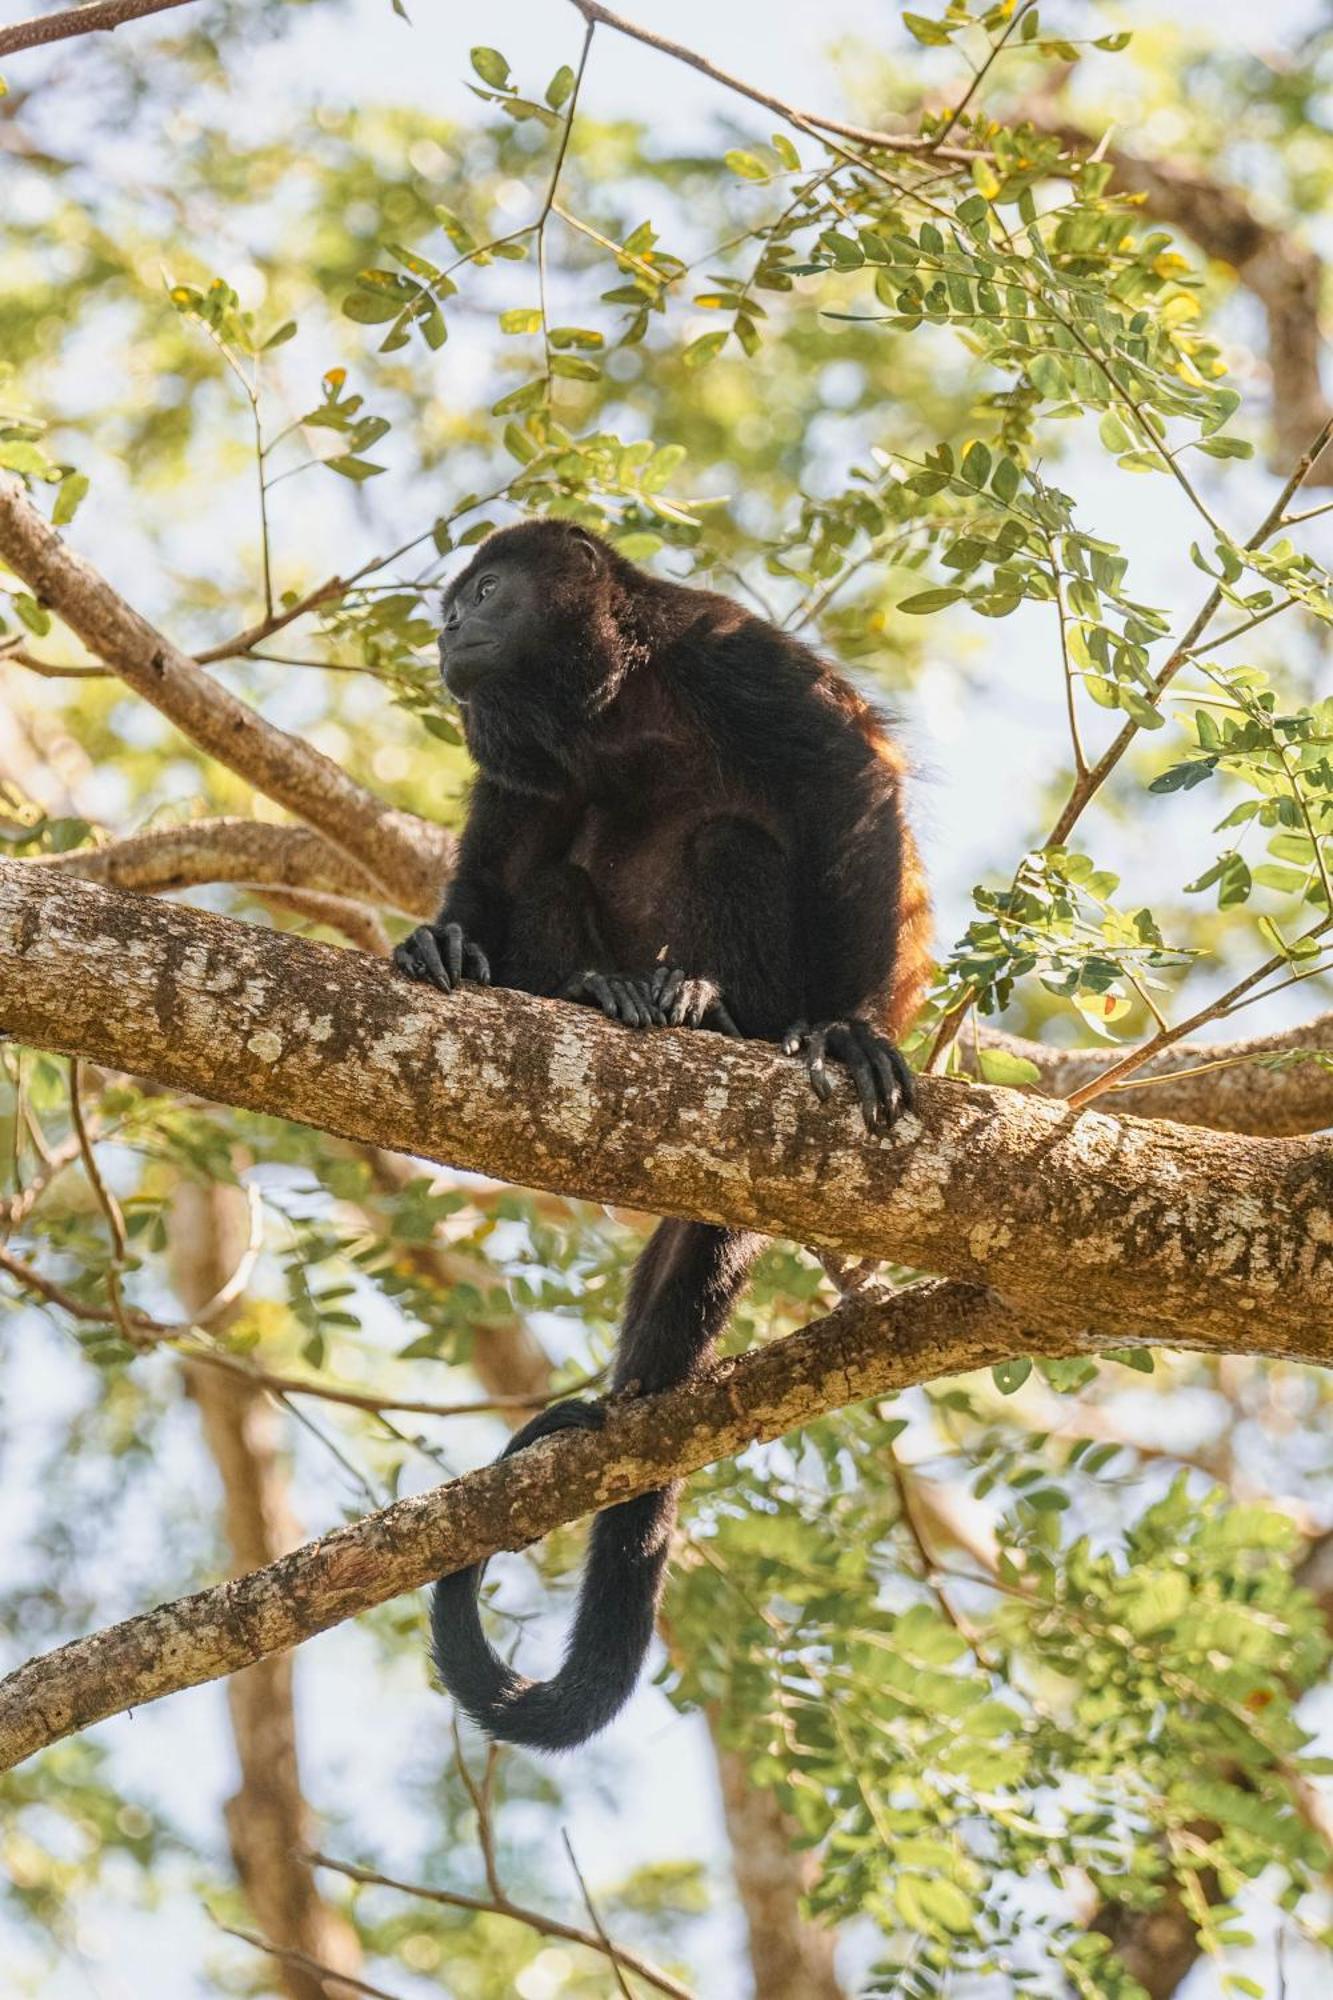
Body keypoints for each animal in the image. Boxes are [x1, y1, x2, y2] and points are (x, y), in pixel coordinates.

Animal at [394, 516, 928, 1752]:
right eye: (455, 603)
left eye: (485, 590)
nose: (446, 627)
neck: (613, 703)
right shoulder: (515, 759)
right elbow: (499, 862)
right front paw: (443, 946)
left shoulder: (733, 656)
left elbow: (850, 786)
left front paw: (853, 1029)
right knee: (553, 876)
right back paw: (603, 993)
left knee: (735, 840)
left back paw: (703, 1007)